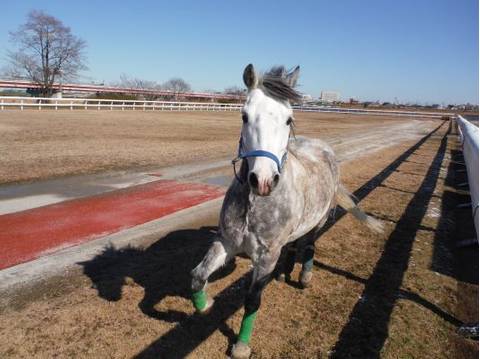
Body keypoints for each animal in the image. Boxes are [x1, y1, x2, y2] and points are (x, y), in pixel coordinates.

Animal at [191, 64, 382, 359]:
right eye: (244, 116)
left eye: (289, 120)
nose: (263, 180)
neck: (254, 205)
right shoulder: (227, 241)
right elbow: (198, 275)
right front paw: (205, 304)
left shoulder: (266, 256)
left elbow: (252, 300)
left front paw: (241, 345)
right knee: (293, 244)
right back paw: (285, 272)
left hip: (318, 220)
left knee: (309, 245)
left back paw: (304, 277)